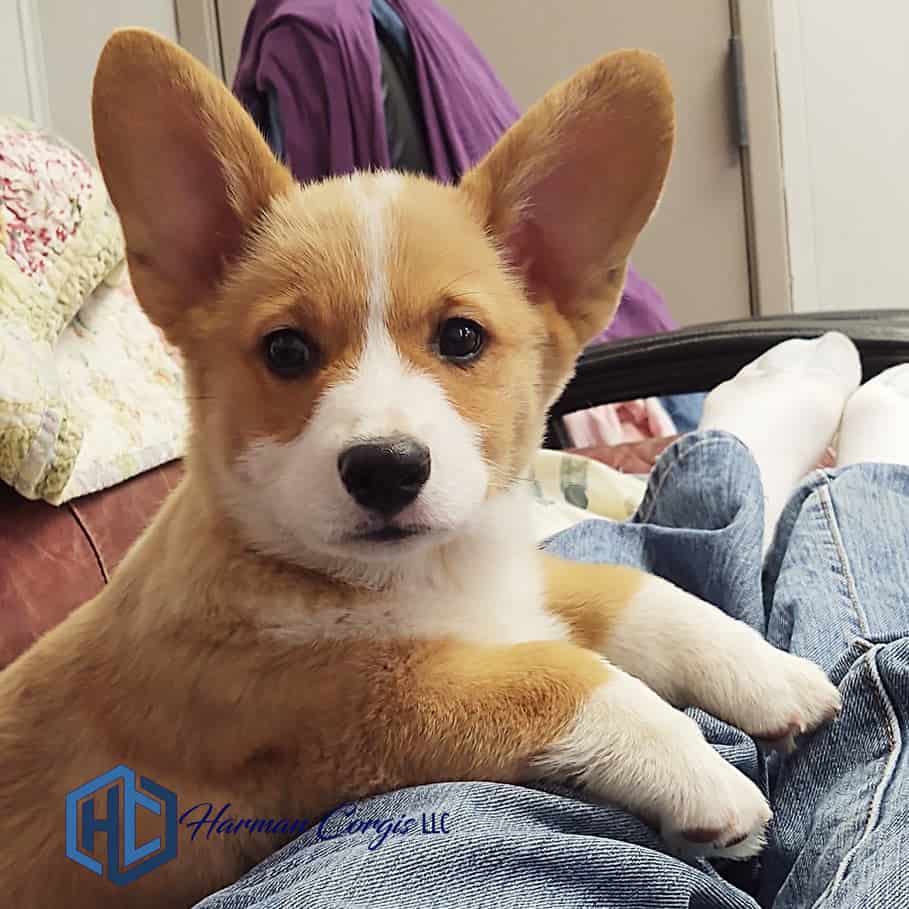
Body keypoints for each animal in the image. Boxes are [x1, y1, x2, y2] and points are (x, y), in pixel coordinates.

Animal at [0, 30, 840, 908]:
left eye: (461, 338)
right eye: (286, 350)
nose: (384, 469)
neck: (419, 578)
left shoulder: (521, 585)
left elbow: (640, 592)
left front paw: (769, 672)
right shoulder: (360, 708)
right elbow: (551, 672)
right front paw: (695, 770)